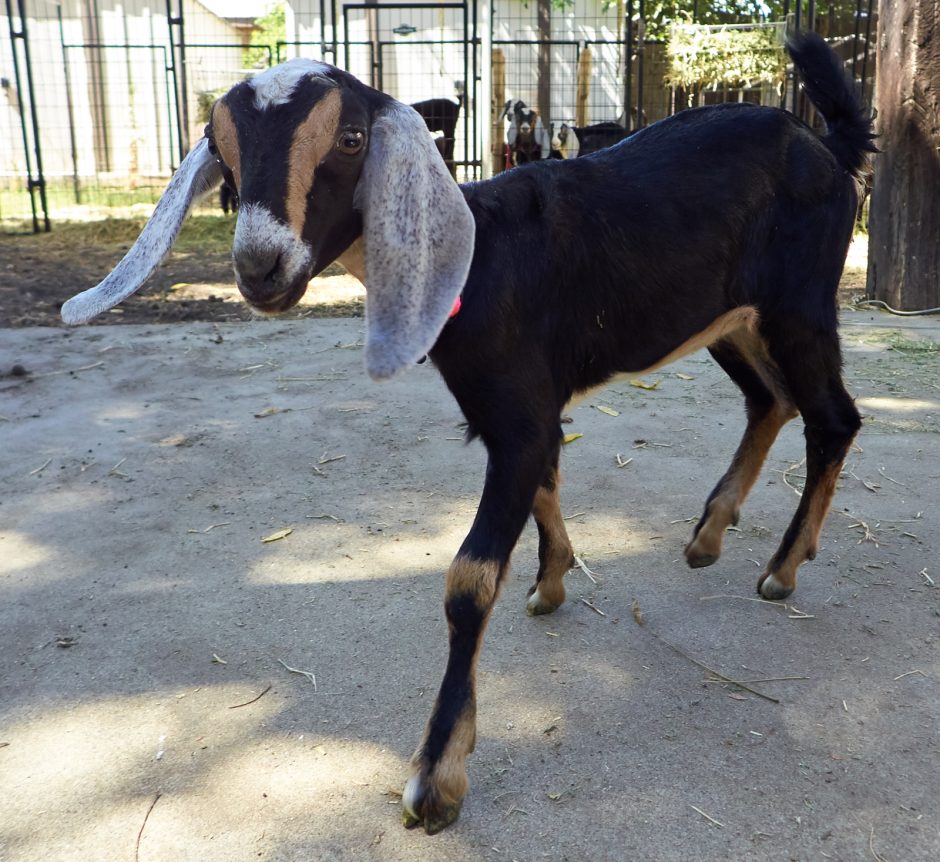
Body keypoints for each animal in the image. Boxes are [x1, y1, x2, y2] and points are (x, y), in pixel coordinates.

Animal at [61, 33, 874, 835]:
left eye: (352, 138)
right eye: (222, 150)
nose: (262, 267)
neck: (481, 256)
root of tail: (828, 147)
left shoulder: (518, 414)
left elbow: (470, 577)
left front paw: (437, 778)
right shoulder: (519, 413)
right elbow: (545, 479)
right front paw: (552, 579)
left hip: (800, 303)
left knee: (834, 417)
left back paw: (782, 567)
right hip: (731, 316)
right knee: (770, 401)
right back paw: (709, 533)